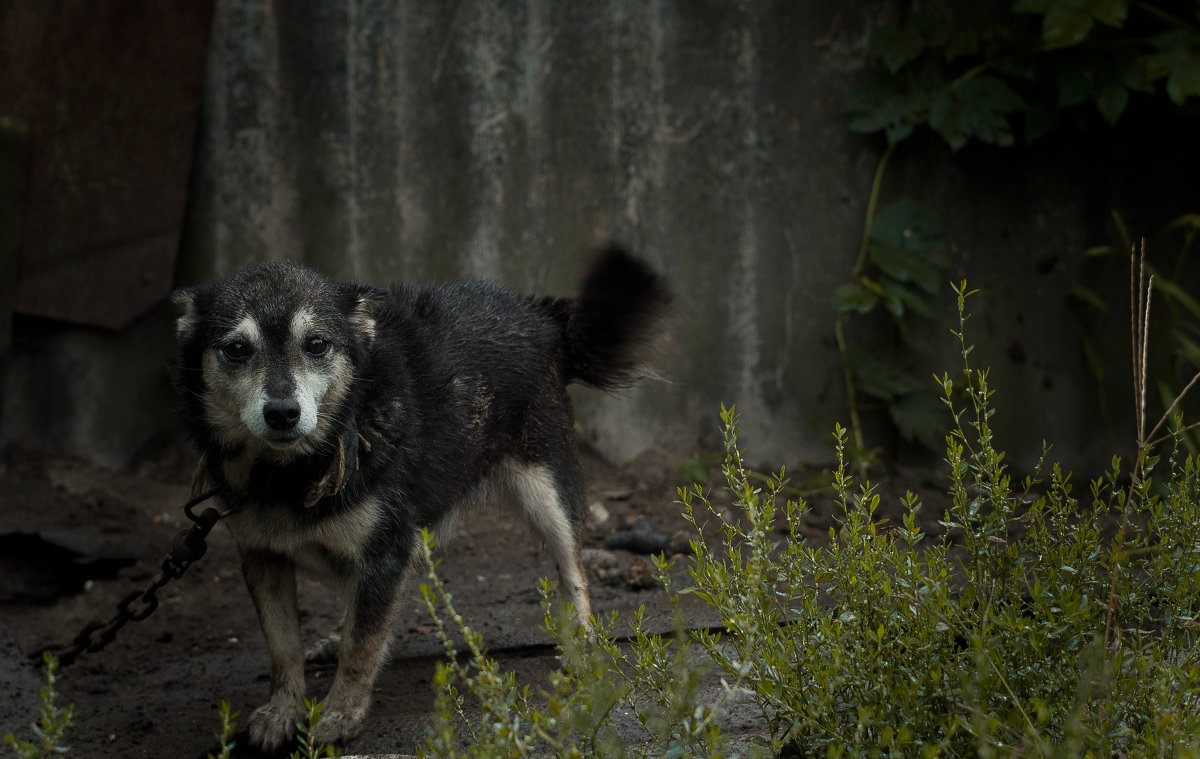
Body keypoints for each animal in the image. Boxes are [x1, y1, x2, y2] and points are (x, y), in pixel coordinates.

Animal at [172, 246, 672, 749]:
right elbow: (282, 648)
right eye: (237, 349)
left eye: (316, 344)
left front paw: (341, 715)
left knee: (575, 575)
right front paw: (282, 711)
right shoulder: (263, 557)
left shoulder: (387, 551)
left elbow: (360, 648)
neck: (293, 472)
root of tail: (540, 313)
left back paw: (583, 650)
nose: (282, 413)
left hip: (548, 492)